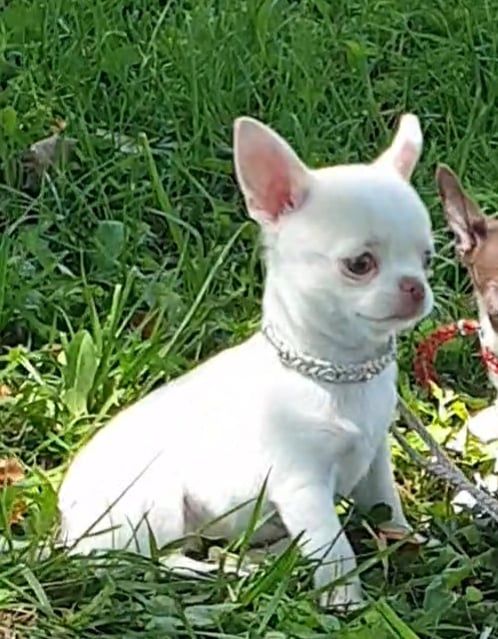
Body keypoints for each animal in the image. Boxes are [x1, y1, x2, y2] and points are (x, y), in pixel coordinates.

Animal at [57, 115, 432, 608]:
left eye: (427, 257)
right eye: (359, 264)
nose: (416, 287)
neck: (339, 373)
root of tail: (66, 530)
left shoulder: (375, 461)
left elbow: (388, 505)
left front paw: (406, 540)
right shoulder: (303, 486)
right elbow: (335, 549)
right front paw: (345, 601)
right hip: (153, 505)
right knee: (149, 561)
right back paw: (228, 570)